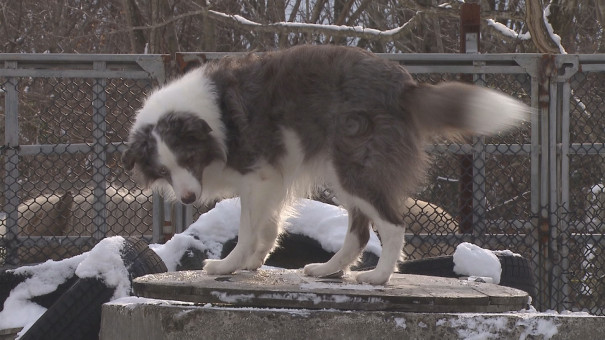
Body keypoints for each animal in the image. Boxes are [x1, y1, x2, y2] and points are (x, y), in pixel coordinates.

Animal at [120, 44, 528, 284]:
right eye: (163, 170)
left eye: (188, 159)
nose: (188, 199)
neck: (210, 117)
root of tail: (403, 85)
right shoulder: (271, 178)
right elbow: (268, 226)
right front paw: (252, 262)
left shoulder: (258, 174)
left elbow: (249, 227)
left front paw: (227, 265)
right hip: (341, 171)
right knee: (359, 233)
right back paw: (328, 269)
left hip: (355, 168)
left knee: (393, 224)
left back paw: (379, 276)